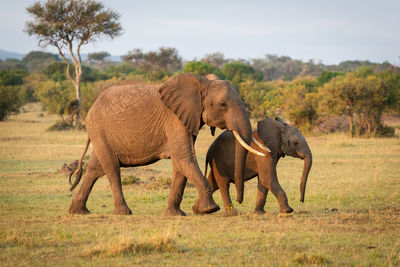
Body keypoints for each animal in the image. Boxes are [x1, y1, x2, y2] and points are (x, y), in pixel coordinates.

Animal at [68, 74, 266, 218]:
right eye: (223, 104)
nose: (240, 203)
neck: (203, 83)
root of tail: (92, 106)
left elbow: (180, 163)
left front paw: (175, 214)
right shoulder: (174, 119)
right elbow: (184, 158)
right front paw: (209, 210)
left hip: (101, 134)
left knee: (95, 167)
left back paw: (78, 212)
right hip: (99, 129)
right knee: (111, 167)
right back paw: (124, 213)